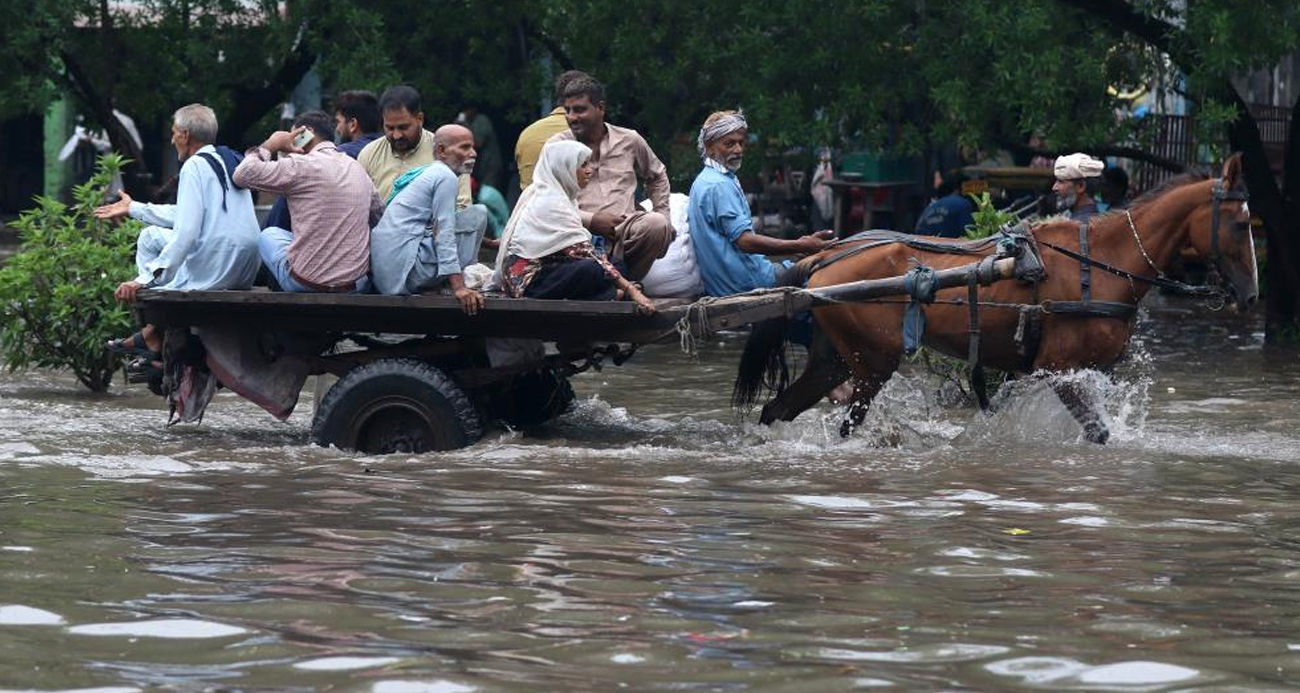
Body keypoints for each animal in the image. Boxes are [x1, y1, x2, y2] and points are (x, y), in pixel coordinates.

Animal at [743, 152, 1258, 442]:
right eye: (1241, 223)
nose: (1252, 296)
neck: (1101, 263)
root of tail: (825, 258)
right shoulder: (1059, 368)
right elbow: (1098, 432)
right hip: (871, 363)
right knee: (845, 422)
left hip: (834, 358)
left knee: (777, 409)